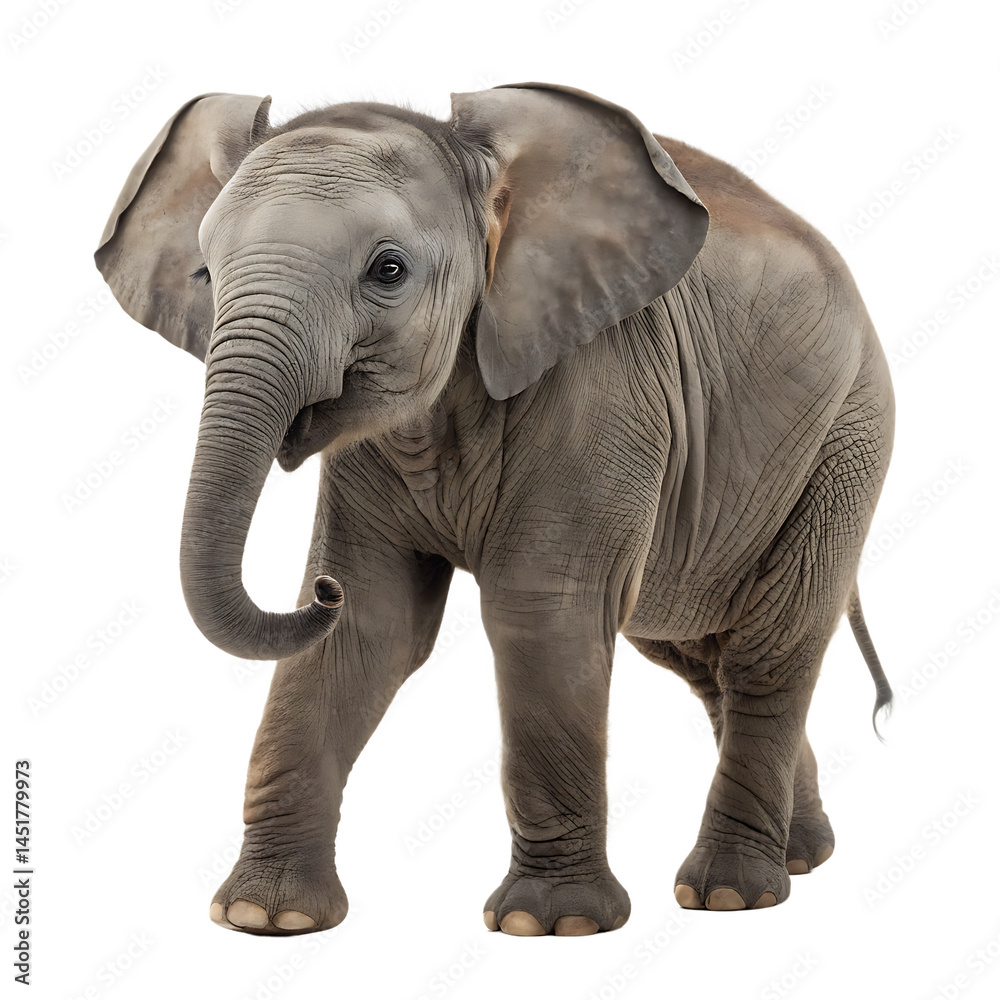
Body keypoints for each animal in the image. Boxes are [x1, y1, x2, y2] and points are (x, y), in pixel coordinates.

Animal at [94, 82, 893, 937]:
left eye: (388, 270)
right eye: (205, 274)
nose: (315, 590)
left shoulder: (605, 386)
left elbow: (541, 612)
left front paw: (549, 924)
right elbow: (372, 625)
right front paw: (264, 916)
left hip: (846, 442)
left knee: (770, 648)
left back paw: (729, 894)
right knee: (700, 655)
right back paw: (801, 856)